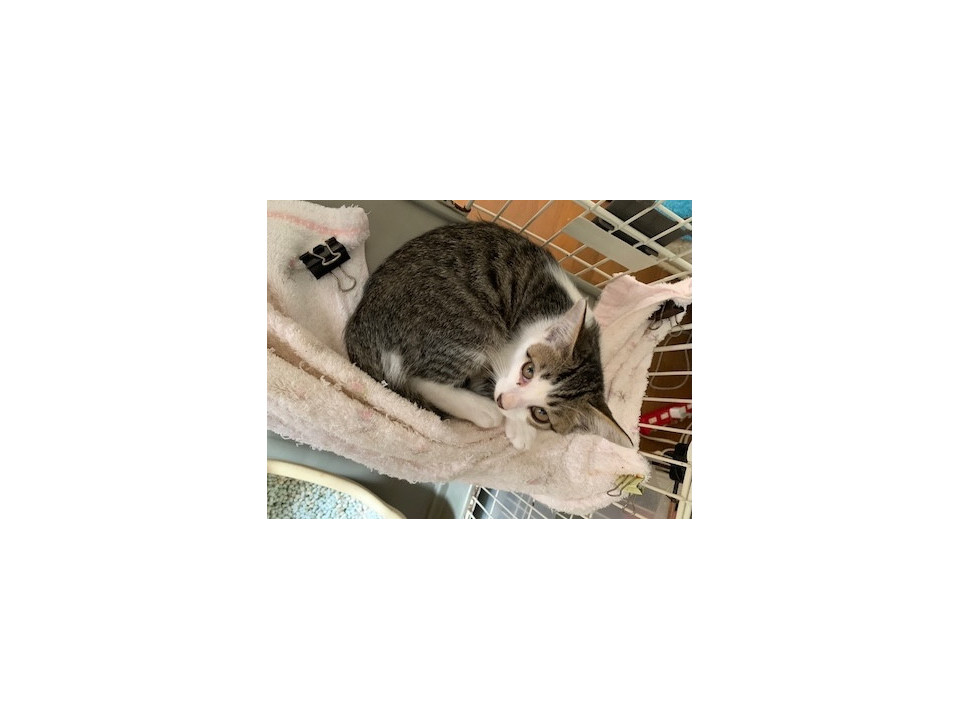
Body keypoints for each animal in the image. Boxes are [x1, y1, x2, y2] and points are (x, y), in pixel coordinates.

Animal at [344, 221, 632, 451]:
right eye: (528, 370)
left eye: (541, 414)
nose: (503, 401)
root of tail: (362, 320)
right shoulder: (507, 342)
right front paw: (517, 427)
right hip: (472, 327)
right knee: (419, 379)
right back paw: (482, 410)